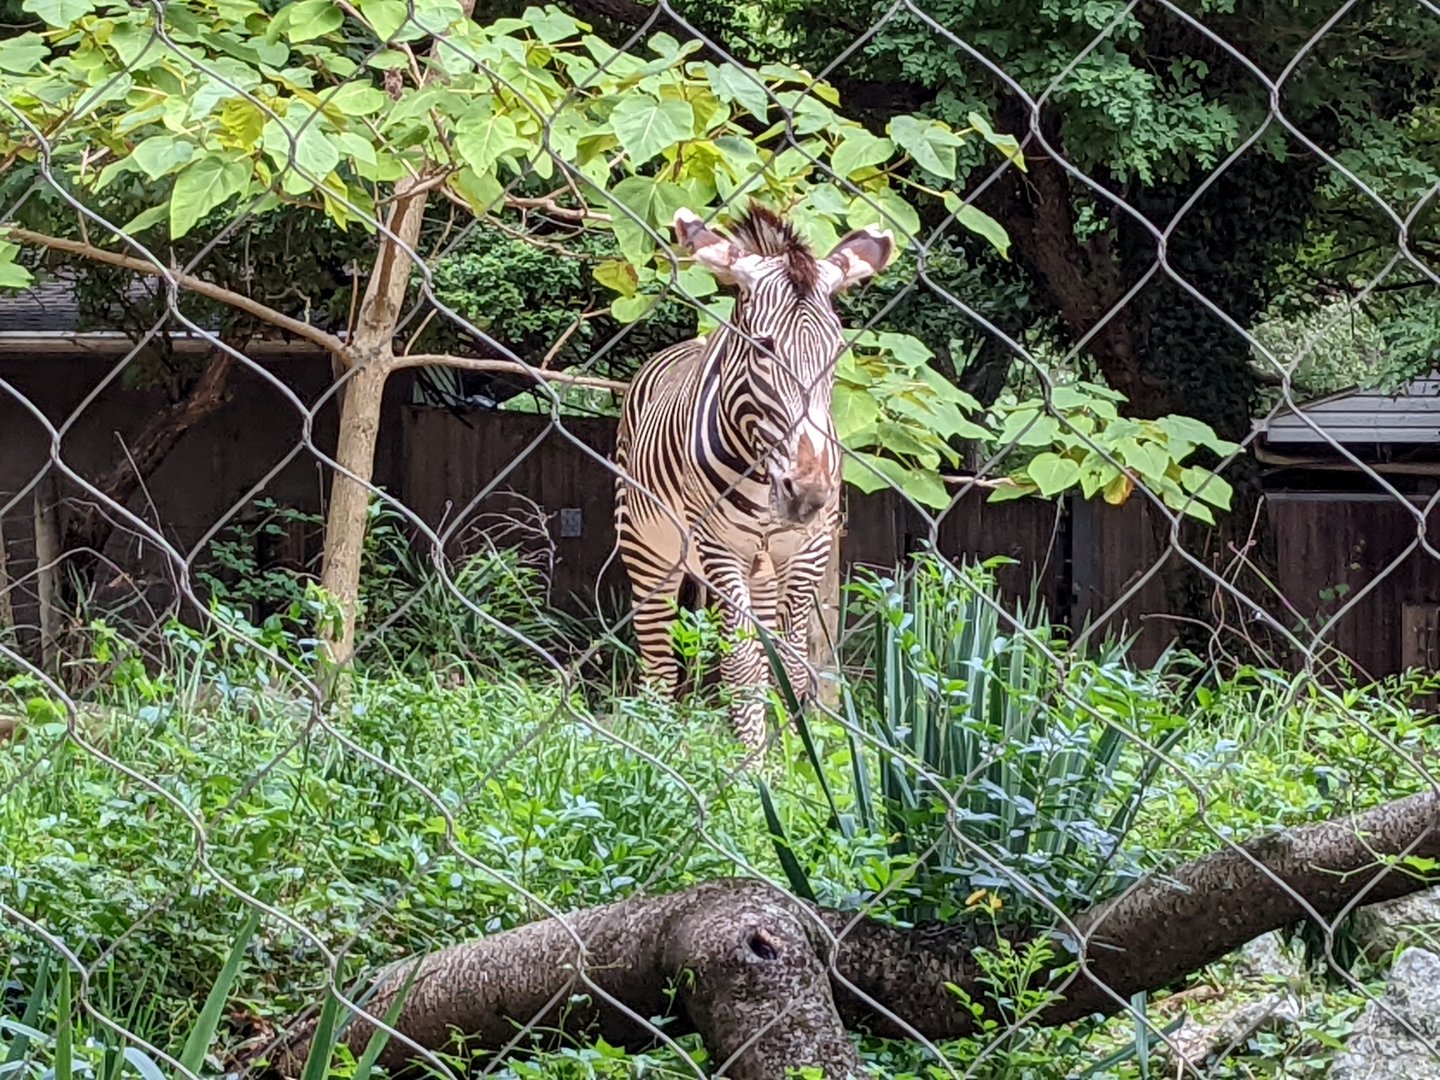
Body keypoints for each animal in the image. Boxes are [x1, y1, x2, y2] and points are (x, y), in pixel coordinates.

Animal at [613, 201, 896, 748]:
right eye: (762, 349)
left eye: (837, 354)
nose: (806, 492)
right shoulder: (720, 549)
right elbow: (742, 667)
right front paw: (750, 763)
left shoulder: (809, 549)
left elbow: (790, 666)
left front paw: (791, 755)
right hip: (649, 549)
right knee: (659, 666)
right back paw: (656, 745)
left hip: (763, 571)